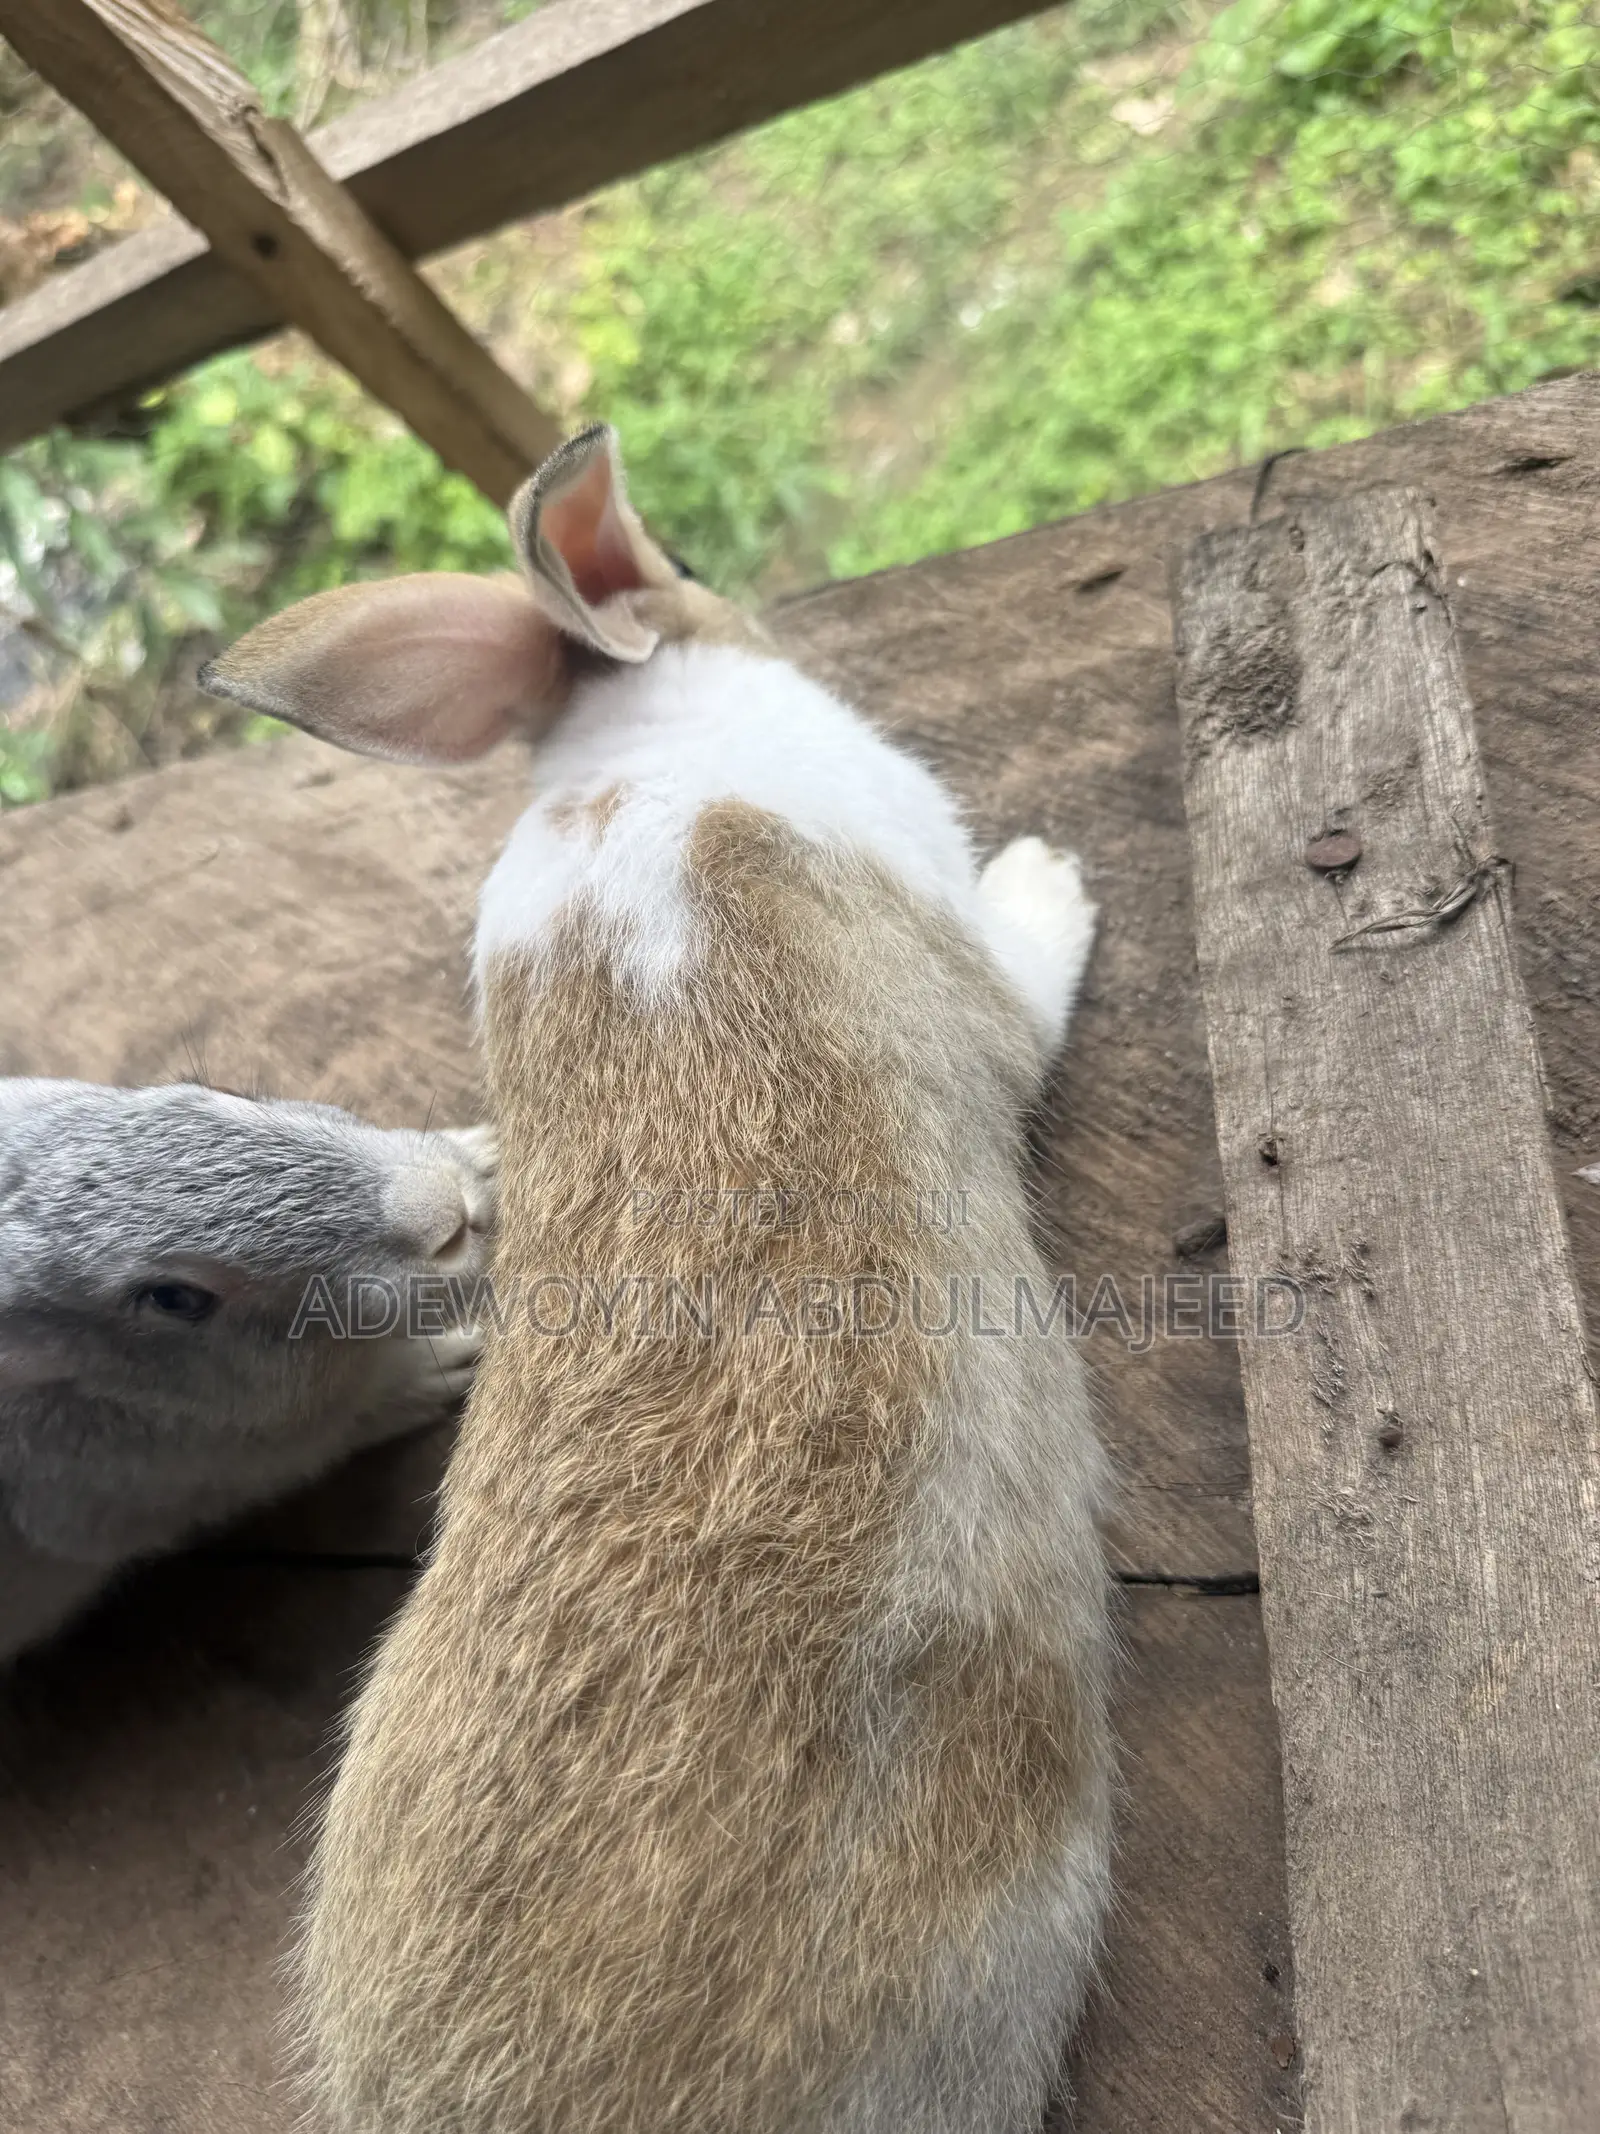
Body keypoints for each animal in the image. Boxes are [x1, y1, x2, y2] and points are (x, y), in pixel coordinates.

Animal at [0, 1076, 496, 1660]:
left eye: (224, 1092)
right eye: (175, 1299)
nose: (447, 1212)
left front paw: (485, 1149)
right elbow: (353, 1414)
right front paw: (447, 1361)